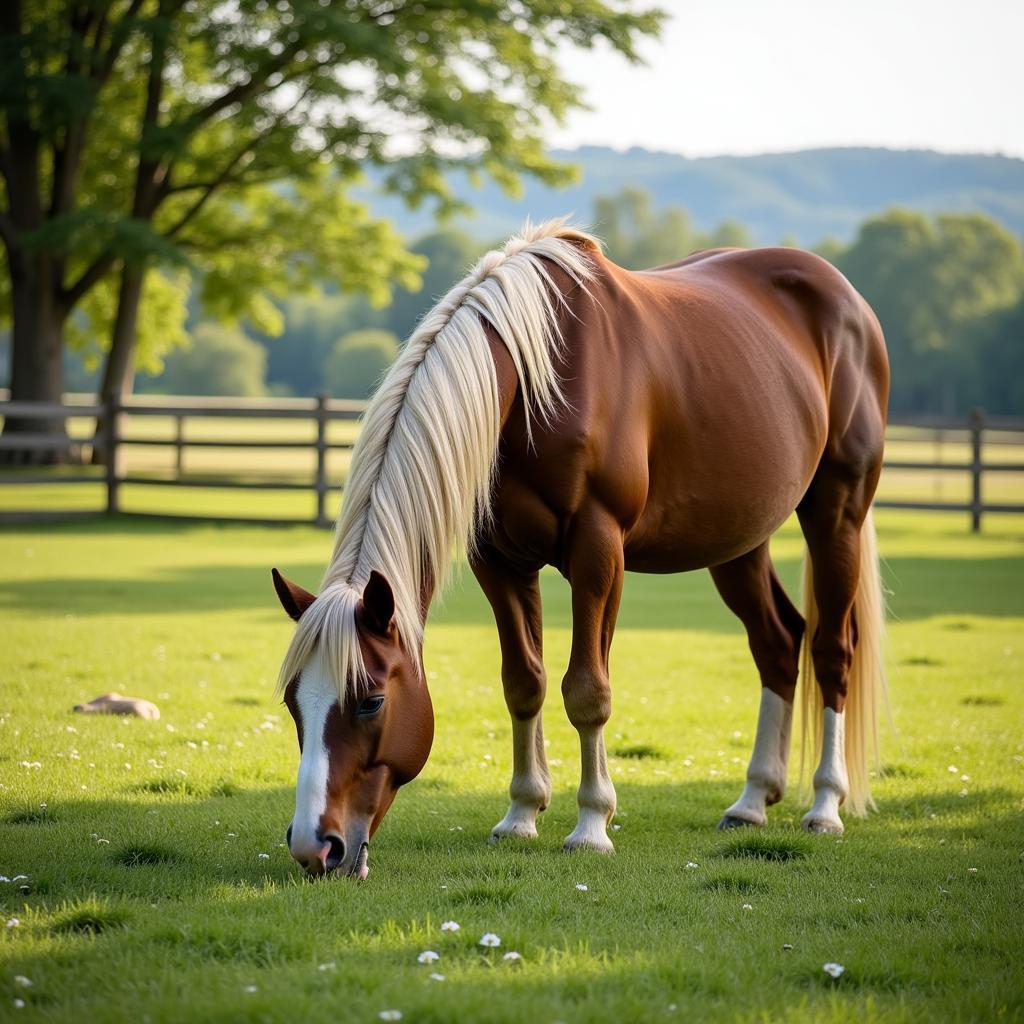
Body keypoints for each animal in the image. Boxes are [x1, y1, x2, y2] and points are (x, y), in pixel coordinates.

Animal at [272, 220, 888, 876]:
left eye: (370, 701)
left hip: (837, 516)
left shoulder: (598, 551)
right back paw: (751, 802)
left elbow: (587, 689)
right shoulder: (500, 561)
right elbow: (524, 681)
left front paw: (592, 824)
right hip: (740, 542)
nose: (315, 845)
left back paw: (824, 805)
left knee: (831, 651)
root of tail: (847, 300)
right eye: (292, 703)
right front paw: (521, 814)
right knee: (778, 644)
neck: (539, 377)